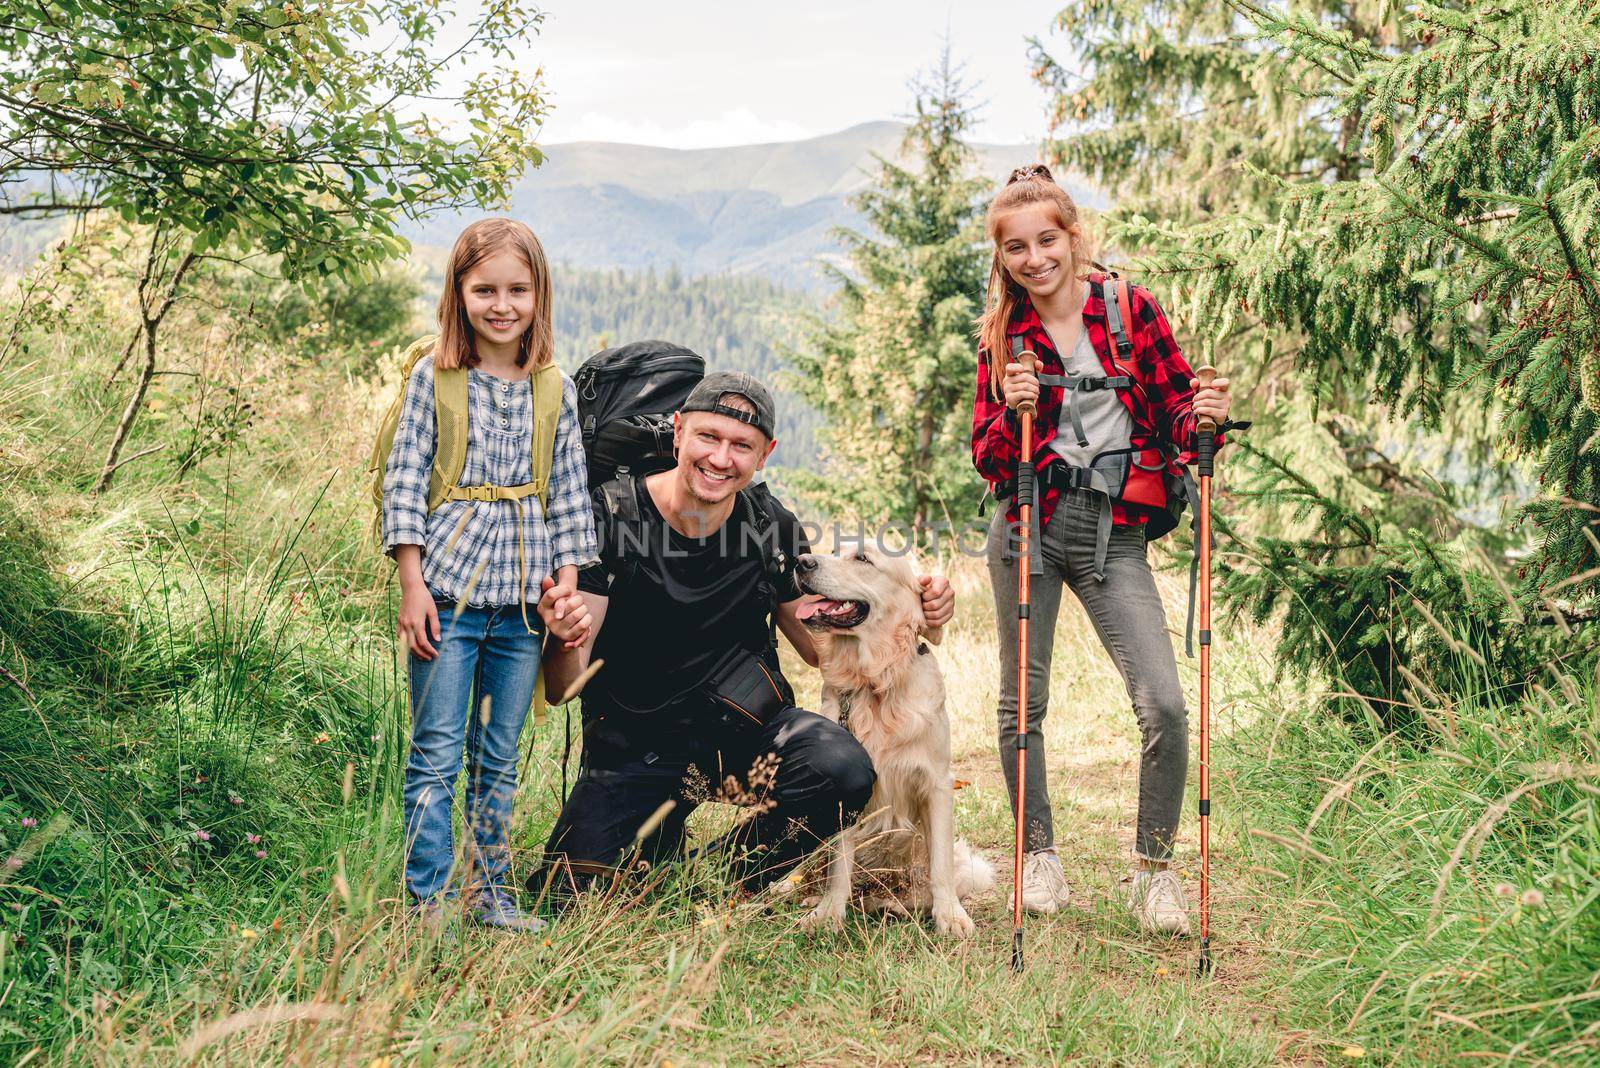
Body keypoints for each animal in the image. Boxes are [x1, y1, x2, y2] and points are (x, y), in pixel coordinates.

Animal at [793, 546, 992, 940]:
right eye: (834, 550)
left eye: (863, 559)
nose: (801, 561)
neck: (875, 683)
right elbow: (839, 862)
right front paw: (828, 912)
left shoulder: (937, 783)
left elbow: (940, 865)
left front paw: (950, 915)